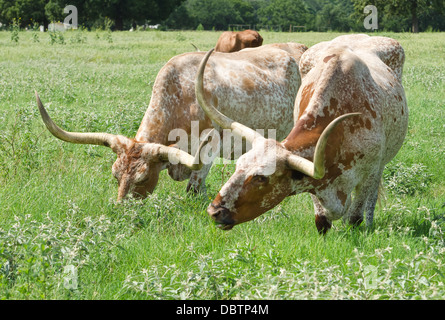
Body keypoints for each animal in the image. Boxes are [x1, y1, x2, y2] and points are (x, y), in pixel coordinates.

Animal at [36, 43, 306, 201]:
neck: (181, 94)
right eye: (115, 175)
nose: (120, 210)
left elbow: (194, 189)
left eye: (143, 178)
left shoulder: (208, 148)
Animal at [198, 35, 410, 234]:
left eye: (261, 178)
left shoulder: (369, 174)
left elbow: (354, 218)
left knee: (371, 202)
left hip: (381, 166)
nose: (214, 211)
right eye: (237, 166)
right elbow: (322, 221)